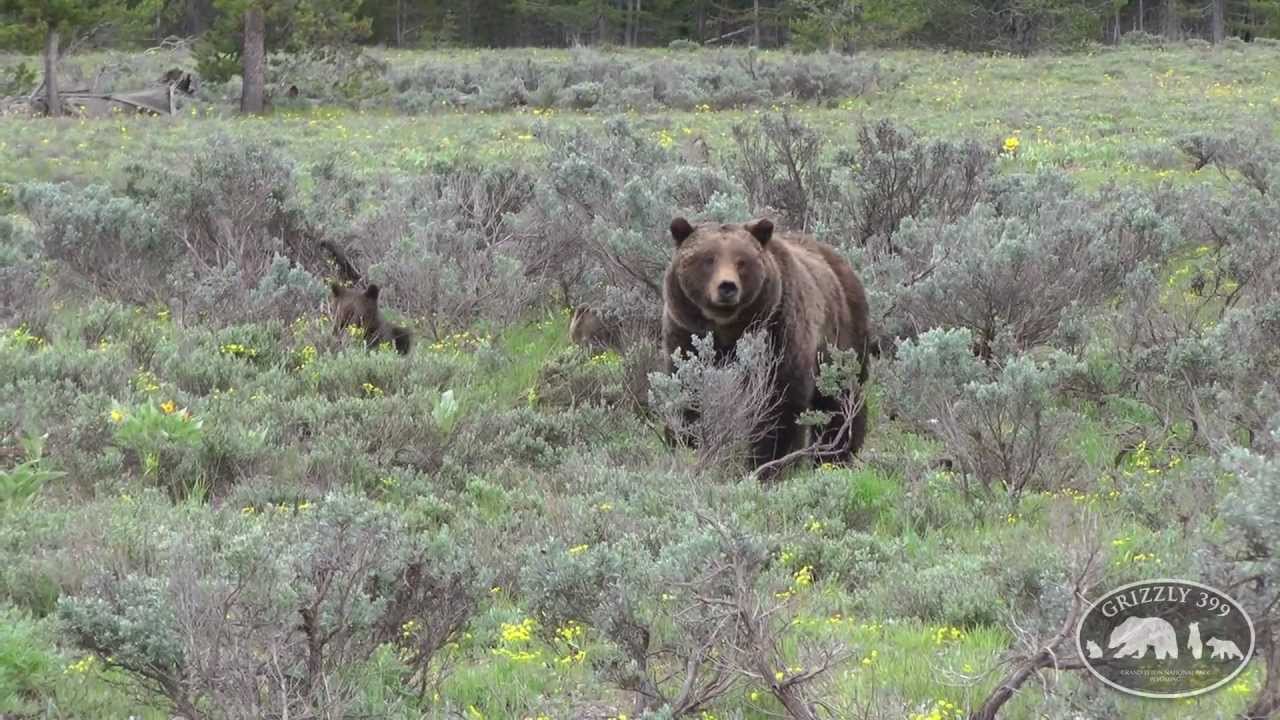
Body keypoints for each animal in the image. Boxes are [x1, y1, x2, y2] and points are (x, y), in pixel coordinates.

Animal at [661, 216, 870, 474]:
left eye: (742, 261)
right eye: (708, 259)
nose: (727, 286)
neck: (727, 329)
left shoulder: (777, 333)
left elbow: (779, 401)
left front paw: (766, 462)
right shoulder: (686, 333)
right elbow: (686, 393)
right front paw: (685, 443)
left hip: (842, 336)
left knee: (840, 401)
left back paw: (836, 454)